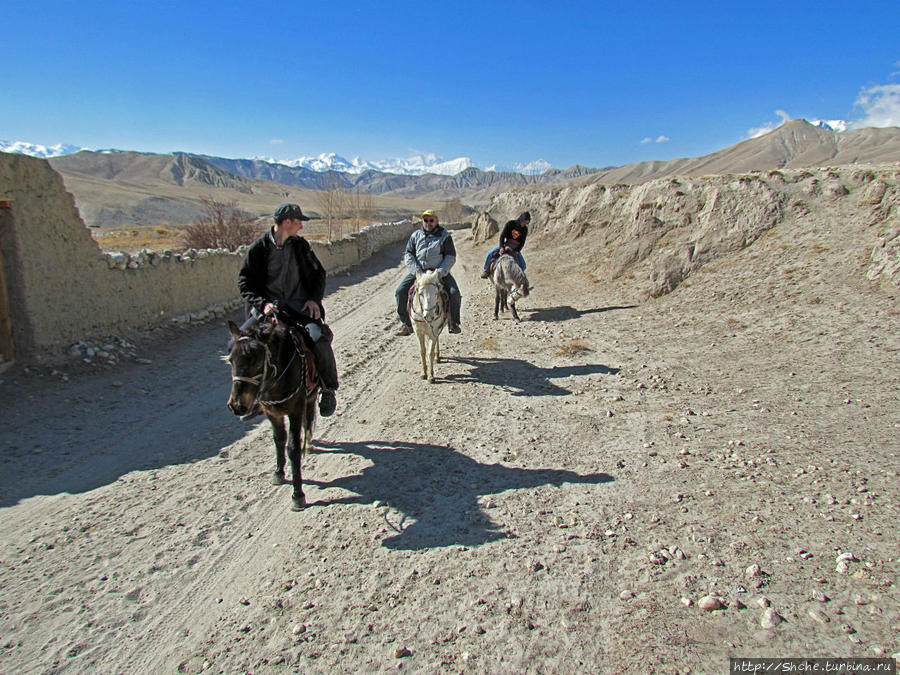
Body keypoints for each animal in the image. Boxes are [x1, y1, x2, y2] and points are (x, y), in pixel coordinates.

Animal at [227, 320, 318, 510]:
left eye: (257, 362)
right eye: (231, 360)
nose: (237, 406)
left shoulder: (295, 409)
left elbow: (293, 448)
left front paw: (297, 495)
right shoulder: (271, 413)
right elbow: (278, 439)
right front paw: (278, 472)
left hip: (311, 396)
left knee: (309, 417)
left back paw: (308, 444)